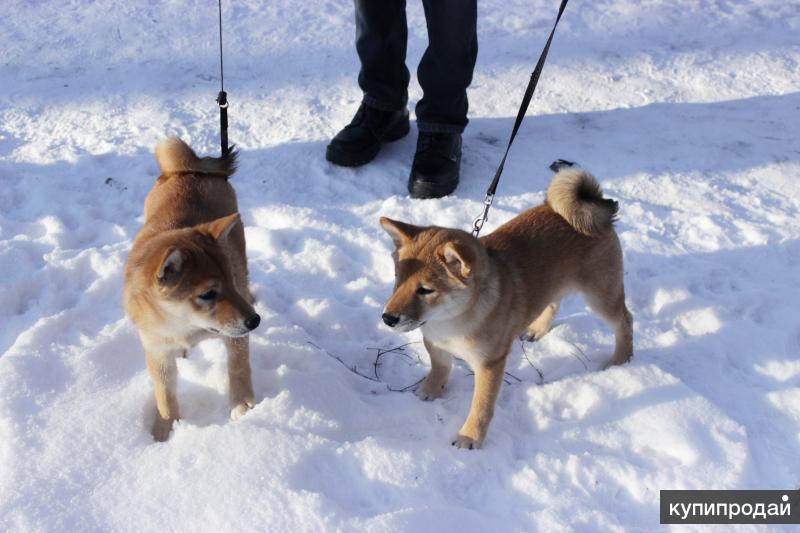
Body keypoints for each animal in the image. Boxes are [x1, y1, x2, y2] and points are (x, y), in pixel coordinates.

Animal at [122, 137, 260, 440]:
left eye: (230, 281)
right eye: (207, 294)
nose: (255, 320)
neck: (185, 325)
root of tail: (187, 172)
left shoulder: (235, 334)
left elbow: (238, 367)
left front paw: (242, 405)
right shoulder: (157, 349)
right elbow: (165, 395)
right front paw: (166, 429)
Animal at [380, 166, 632, 448]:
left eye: (425, 290)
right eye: (397, 279)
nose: (388, 318)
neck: (451, 321)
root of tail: (597, 205)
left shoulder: (490, 363)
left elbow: (481, 406)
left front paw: (469, 437)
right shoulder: (435, 344)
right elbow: (440, 368)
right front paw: (430, 390)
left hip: (601, 295)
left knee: (625, 321)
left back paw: (621, 359)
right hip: (556, 283)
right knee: (553, 302)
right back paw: (537, 329)